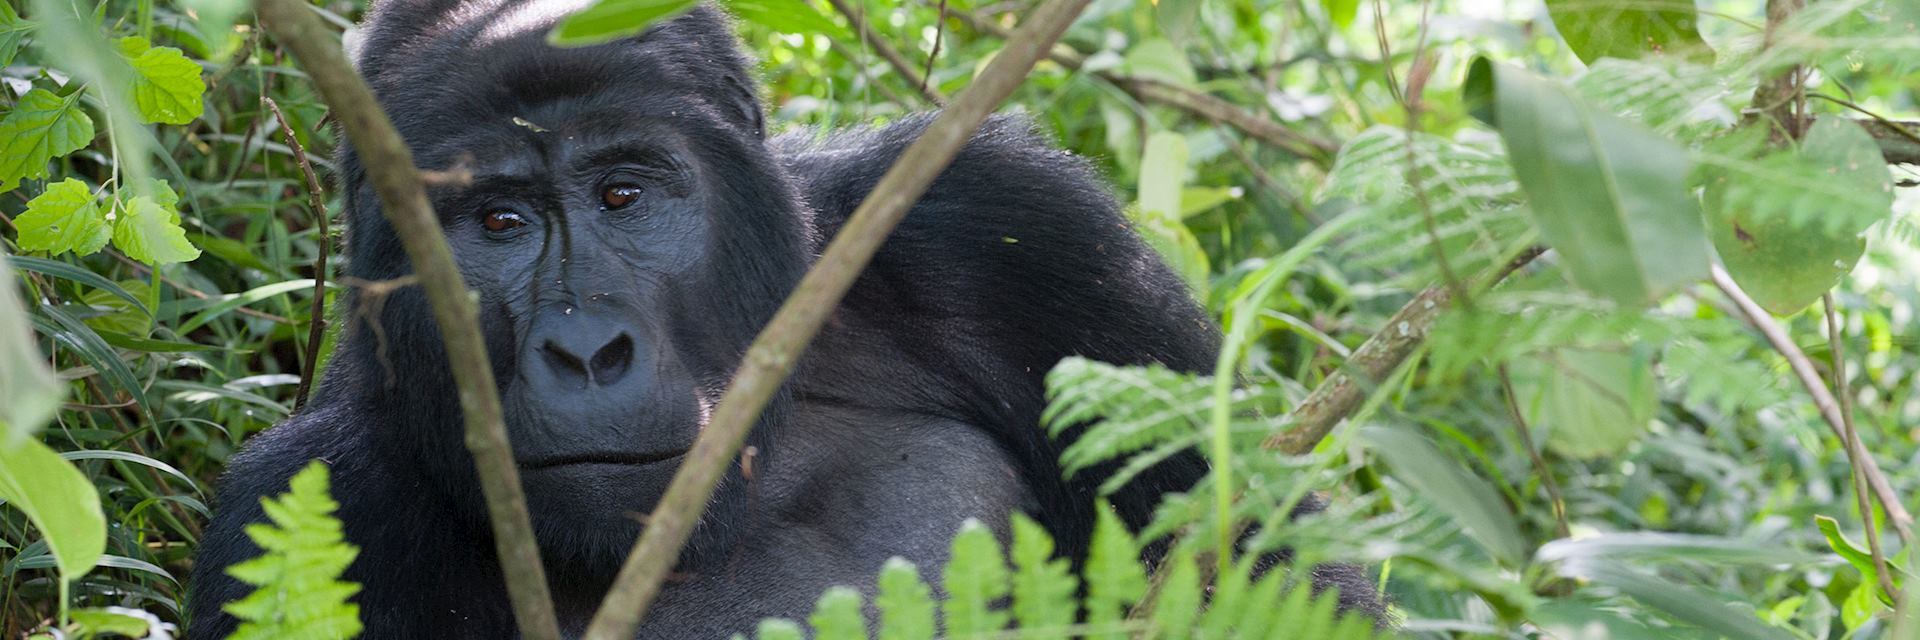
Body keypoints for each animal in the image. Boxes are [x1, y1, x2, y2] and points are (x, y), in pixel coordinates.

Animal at [187, 2, 1382, 634]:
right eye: (499, 221)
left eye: (624, 194)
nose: (586, 351)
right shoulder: (307, 497)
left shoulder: (1014, 230)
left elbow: (1271, 574)